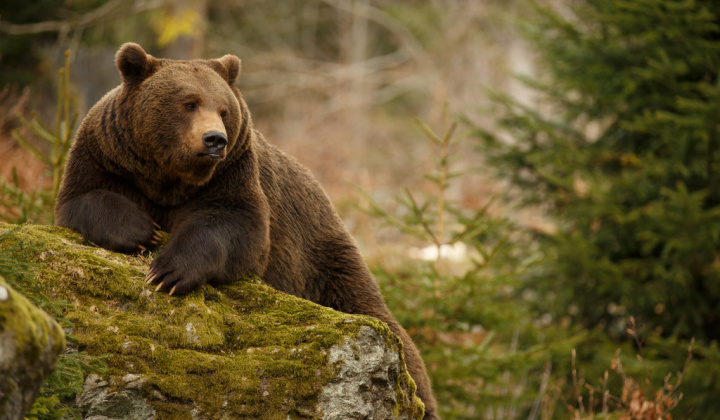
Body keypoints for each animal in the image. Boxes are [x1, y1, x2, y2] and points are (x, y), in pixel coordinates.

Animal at [54, 43, 438, 420]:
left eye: (224, 110)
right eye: (189, 103)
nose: (214, 140)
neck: (171, 179)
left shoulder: (233, 175)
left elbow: (235, 229)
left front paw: (168, 271)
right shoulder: (107, 156)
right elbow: (83, 199)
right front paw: (142, 230)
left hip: (321, 257)